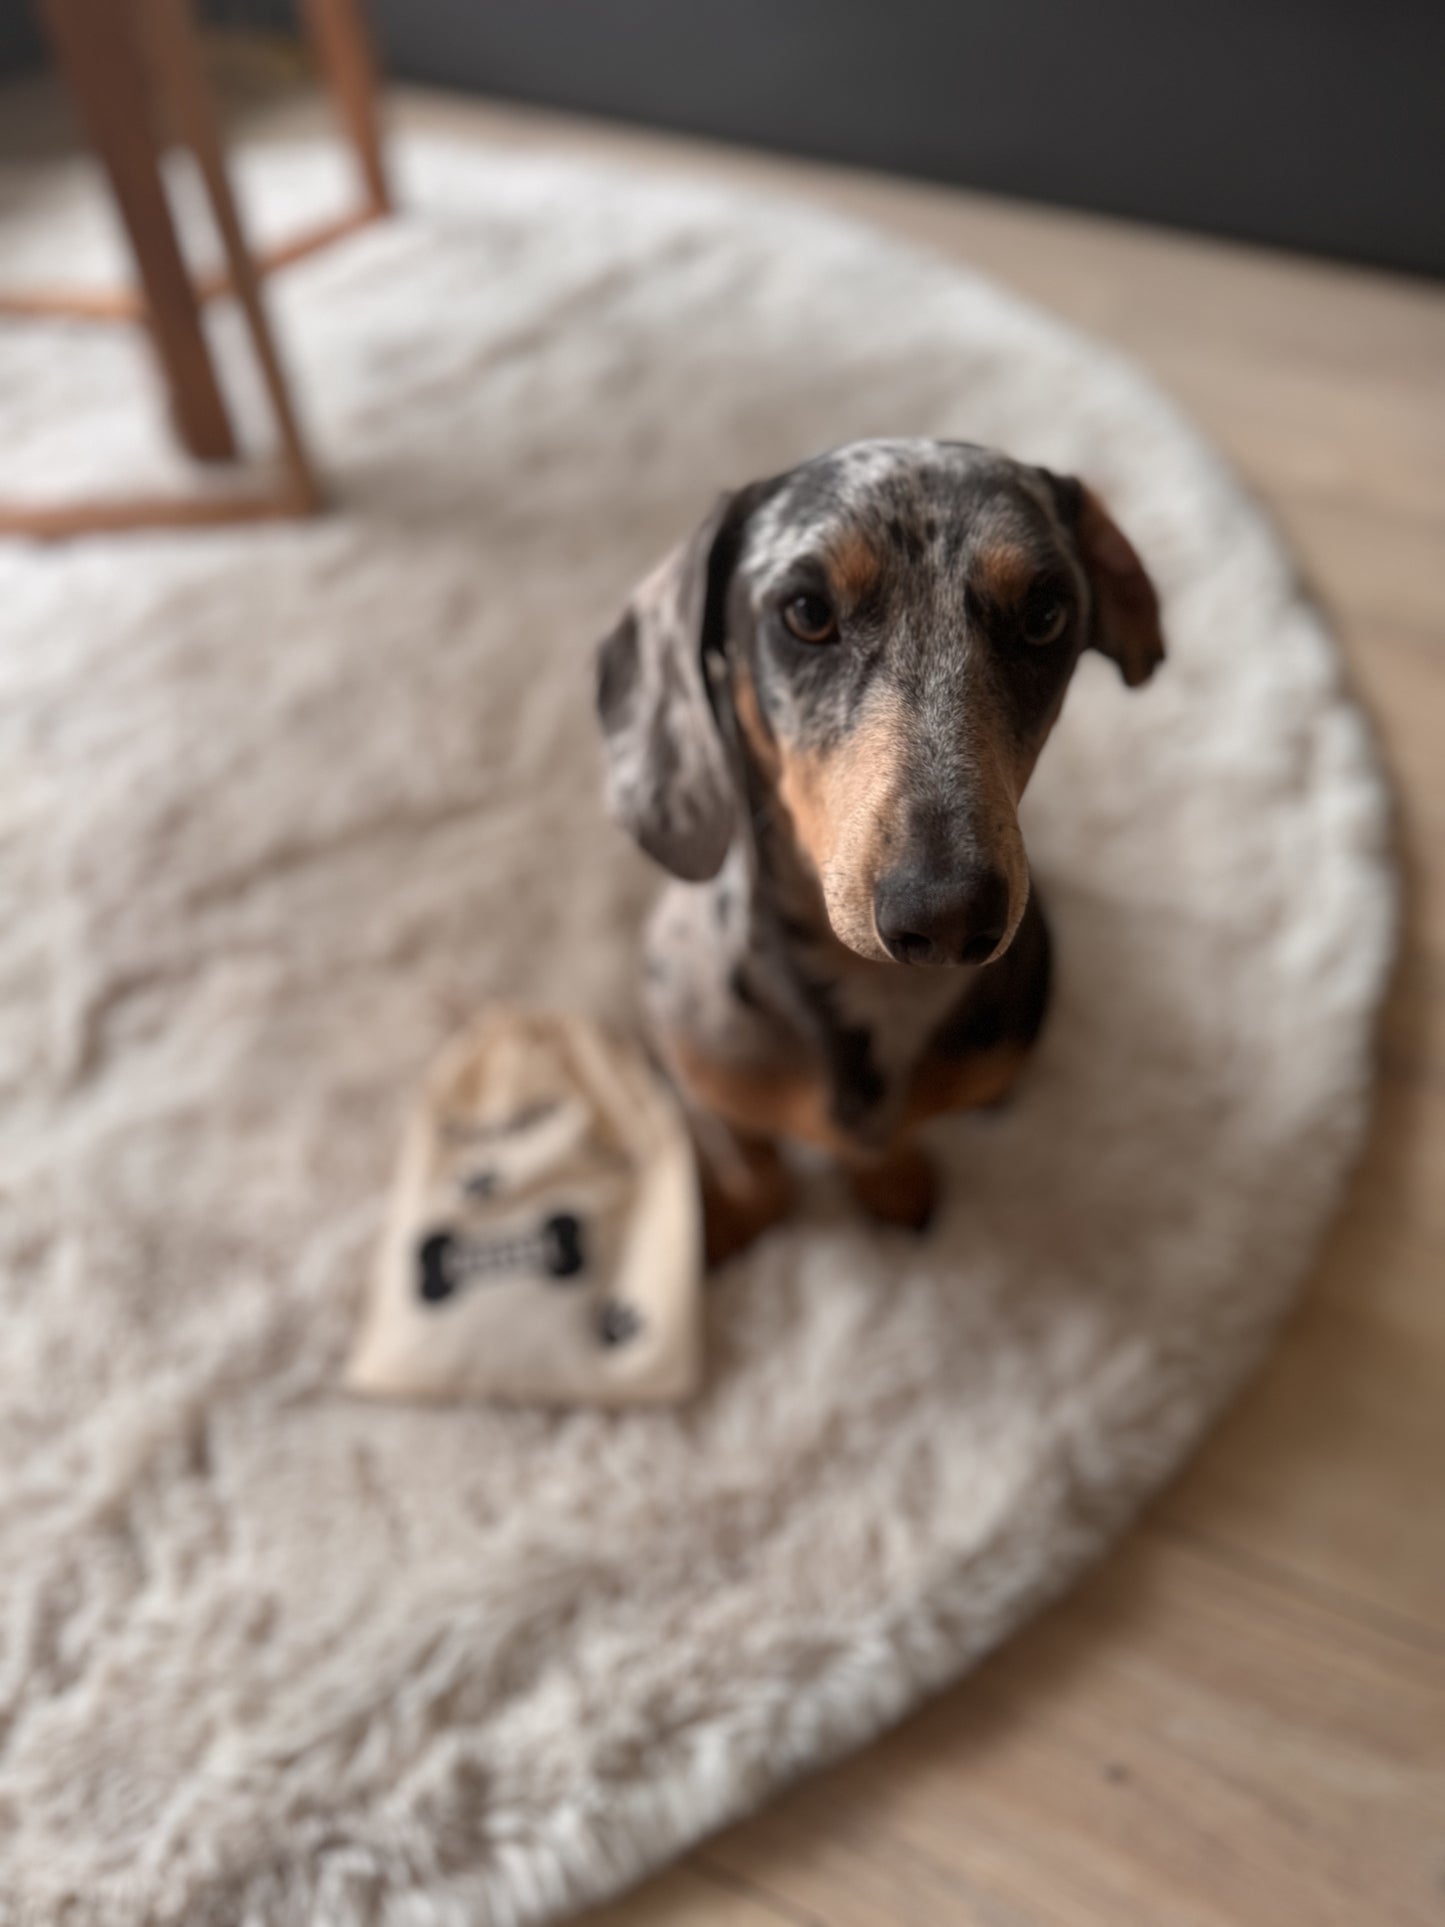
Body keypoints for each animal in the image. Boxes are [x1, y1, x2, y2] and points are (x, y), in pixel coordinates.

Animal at [589, 437, 1163, 1264]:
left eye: (1044, 615)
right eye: (806, 613)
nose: (947, 913)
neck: (879, 992)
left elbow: (891, 1145)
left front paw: (890, 1181)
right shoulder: (709, 1086)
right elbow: (750, 1157)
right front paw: (732, 1216)